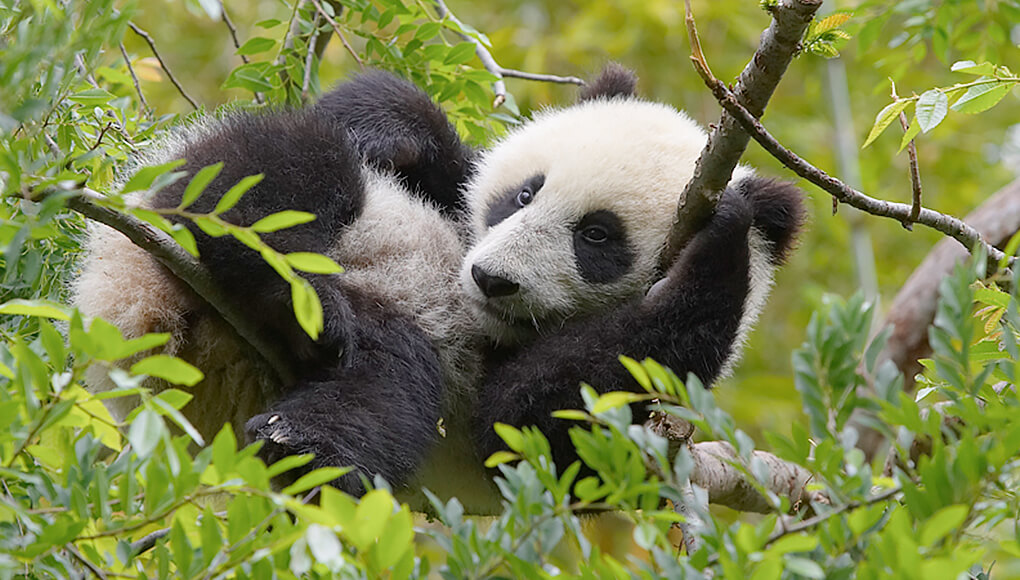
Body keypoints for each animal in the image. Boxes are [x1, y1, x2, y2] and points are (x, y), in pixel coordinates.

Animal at [73, 65, 803, 513]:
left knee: (394, 380)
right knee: (273, 166)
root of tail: (136, 314)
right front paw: (394, 129)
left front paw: (724, 237)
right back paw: (286, 287)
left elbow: (529, 426)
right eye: (525, 193)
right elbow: (388, 131)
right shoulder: (451, 201)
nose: (491, 278)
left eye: (598, 237)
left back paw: (301, 437)